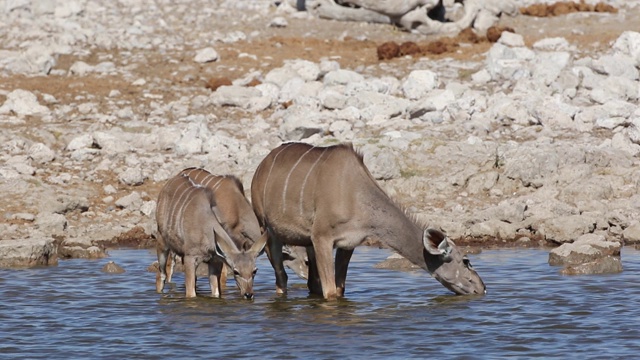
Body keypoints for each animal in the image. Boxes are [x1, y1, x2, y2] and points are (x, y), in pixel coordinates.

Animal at [250, 142, 484, 300]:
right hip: (267, 229)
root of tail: (261, 166)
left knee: (311, 282)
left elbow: (339, 288)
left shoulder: (348, 244)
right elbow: (330, 292)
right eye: (466, 260)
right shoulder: (322, 237)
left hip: (306, 242)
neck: (357, 196)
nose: (482, 287)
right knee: (281, 278)